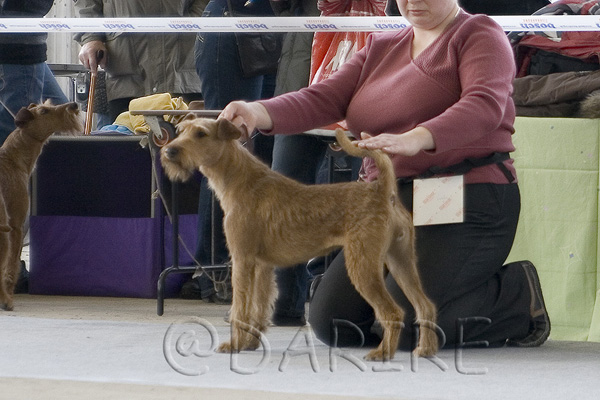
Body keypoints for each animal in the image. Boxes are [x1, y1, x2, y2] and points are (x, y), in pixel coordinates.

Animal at [0, 99, 82, 310]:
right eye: (44, 111)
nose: (74, 104)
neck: (13, 157)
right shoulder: (16, 226)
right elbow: (11, 268)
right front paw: (9, 298)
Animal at [162, 117, 438, 360]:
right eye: (181, 130)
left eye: (201, 134)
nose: (169, 150)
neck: (240, 181)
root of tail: (382, 190)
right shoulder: (262, 266)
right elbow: (259, 307)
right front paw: (250, 342)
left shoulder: (242, 260)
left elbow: (240, 308)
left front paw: (234, 344)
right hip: (400, 260)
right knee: (424, 305)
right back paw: (425, 349)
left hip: (363, 265)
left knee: (393, 312)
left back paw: (383, 353)